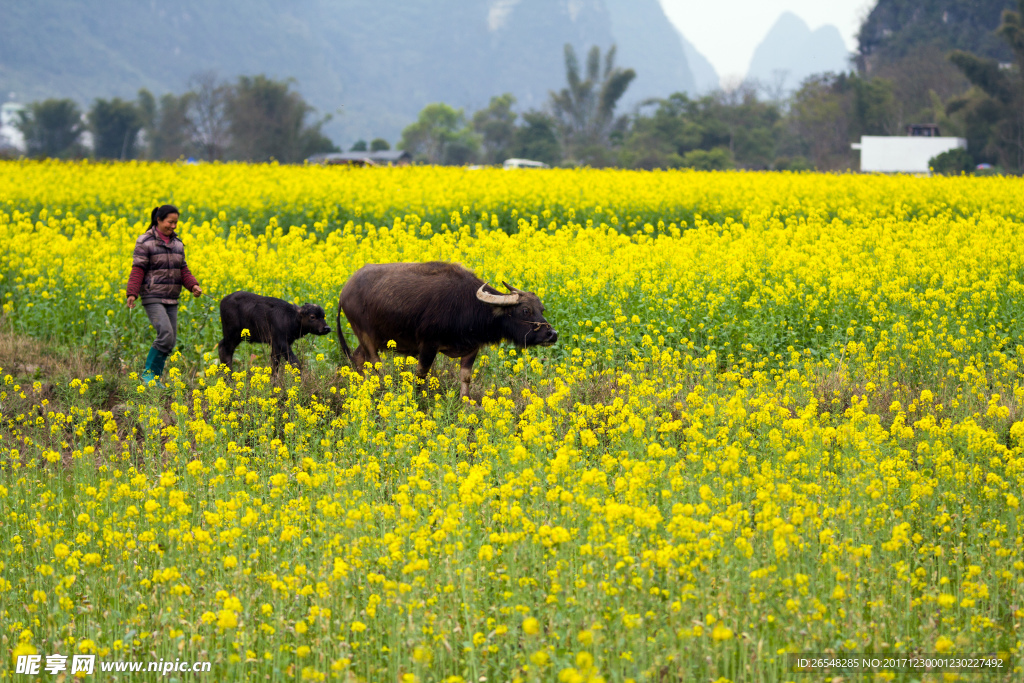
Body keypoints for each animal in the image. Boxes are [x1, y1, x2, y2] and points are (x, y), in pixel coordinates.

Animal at [335, 264, 561, 401]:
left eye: (541, 309)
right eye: (525, 310)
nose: (552, 334)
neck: (471, 305)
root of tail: (345, 291)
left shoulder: (472, 348)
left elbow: (465, 377)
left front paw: (465, 402)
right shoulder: (428, 345)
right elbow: (421, 375)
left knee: (359, 359)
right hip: (366, 335)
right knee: (376, 364)